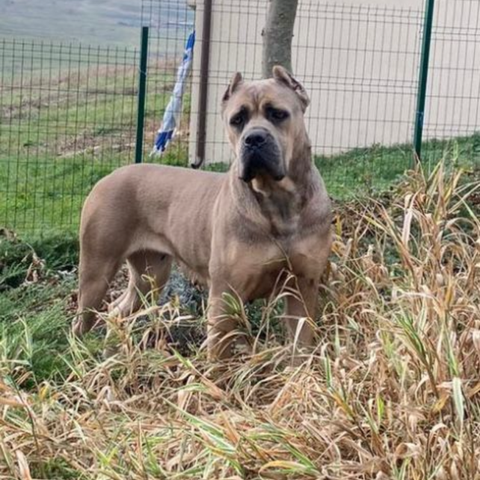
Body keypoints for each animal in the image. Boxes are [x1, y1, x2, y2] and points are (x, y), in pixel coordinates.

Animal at [73, 66, 332, 360]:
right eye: (237, 119)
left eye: (278, 114)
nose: (253, 139)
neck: (279, 202)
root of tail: (107, 177)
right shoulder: (225, 295)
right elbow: (218, 357)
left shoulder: (302, 287)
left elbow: (301, 345)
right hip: (97, 271)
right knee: (81, 321)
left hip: (150, 275)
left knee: (117, 310)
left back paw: (112, 357)